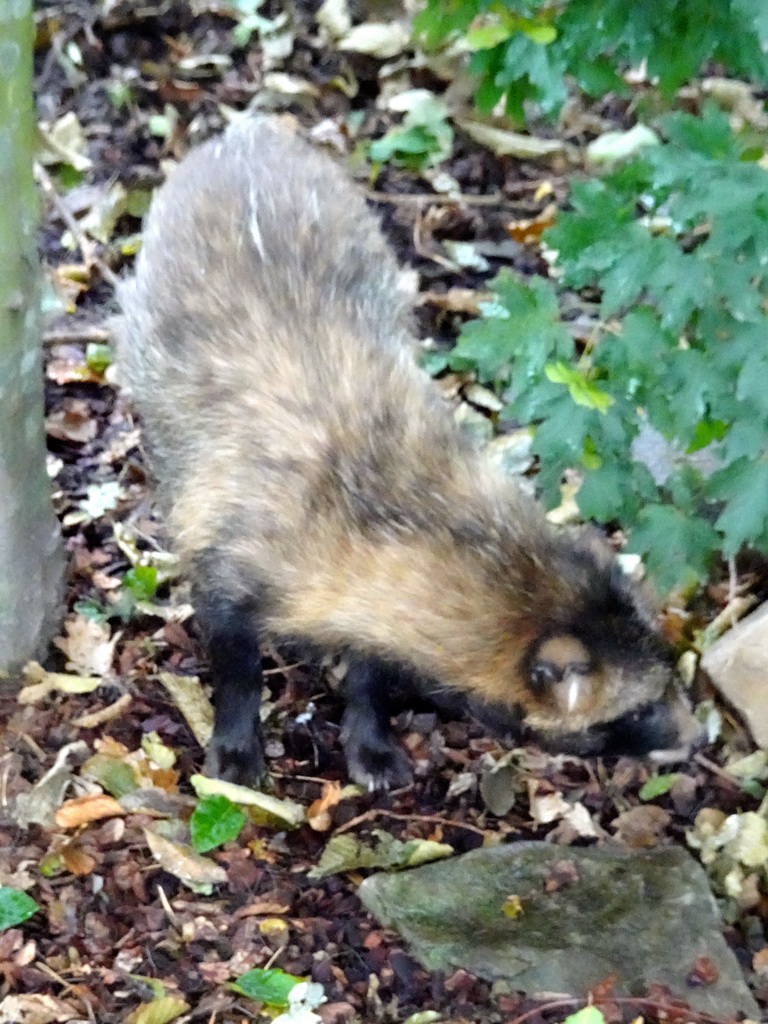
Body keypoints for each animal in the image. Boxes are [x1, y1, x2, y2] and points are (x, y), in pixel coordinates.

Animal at [118, 116, 704, 786]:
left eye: (670, 679)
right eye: (642, 707)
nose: (701, 738)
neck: (386, 499)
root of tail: (247, 133)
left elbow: (371, 673)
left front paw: (370, 741)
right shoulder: (226, 567)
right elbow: (236, 669)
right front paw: (236, 747)